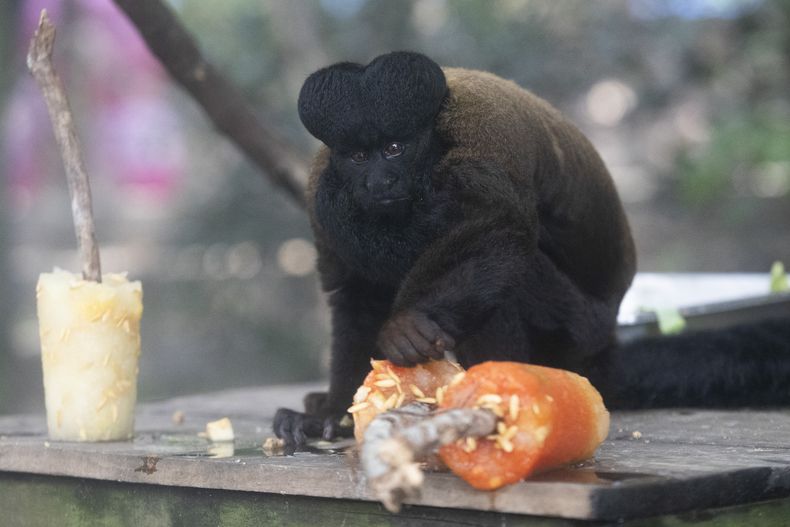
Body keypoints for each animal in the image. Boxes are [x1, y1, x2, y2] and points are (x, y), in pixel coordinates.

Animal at [273, 51, 790, 446]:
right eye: (360, 157)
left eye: (395, 149)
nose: (380, 181)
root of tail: (604, 343)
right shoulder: (322, 199)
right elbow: (354, 296)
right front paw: (331, 413)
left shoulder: (481, 149)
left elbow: (497, 229)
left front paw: (406, 325)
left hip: (577, 330)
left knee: (511, 277)